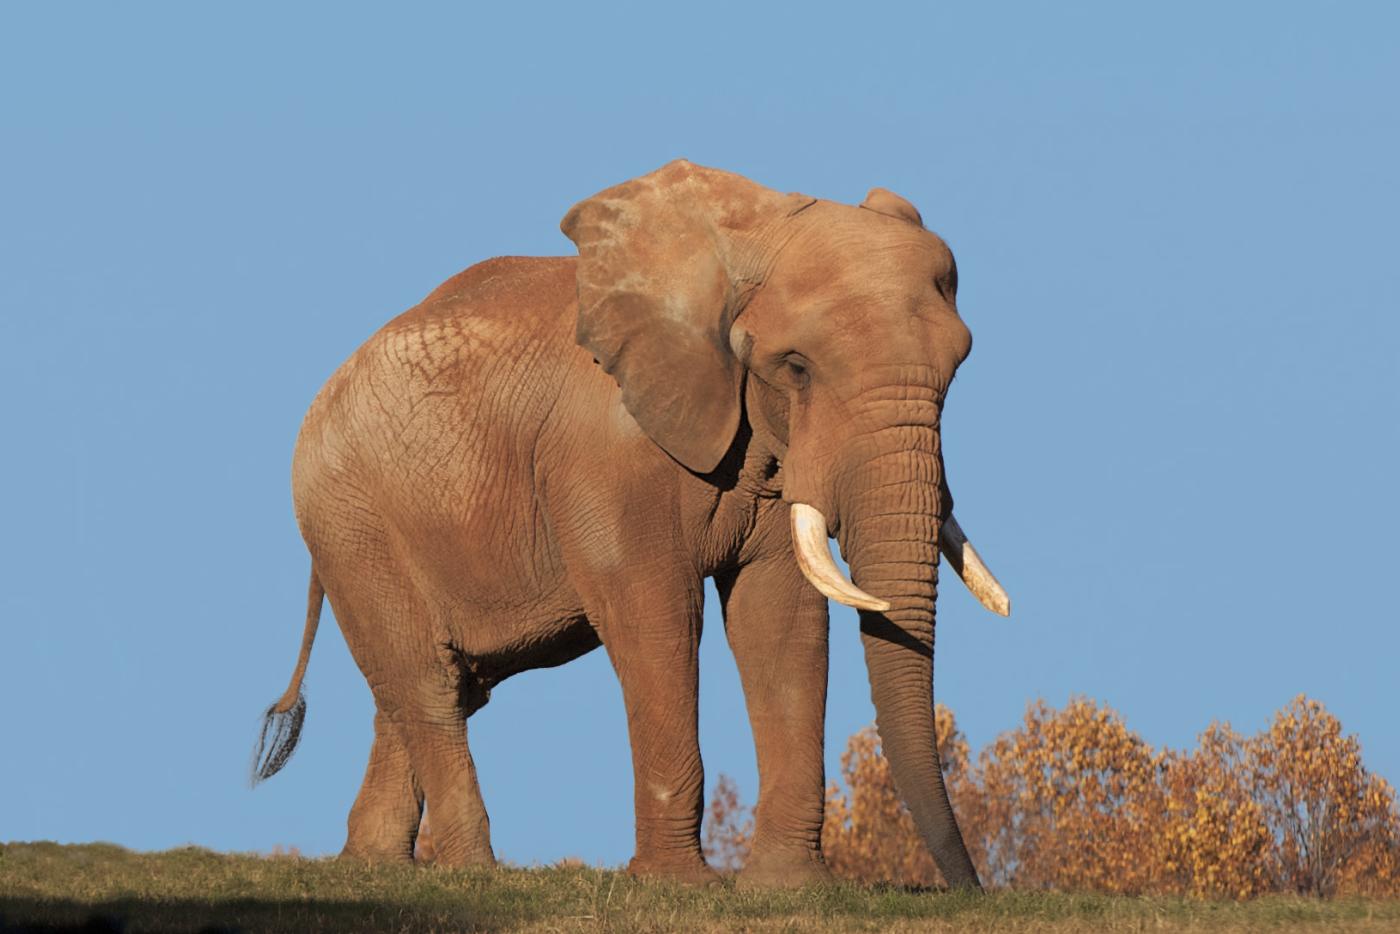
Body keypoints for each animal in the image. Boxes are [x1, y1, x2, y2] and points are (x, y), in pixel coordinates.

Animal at [253, 160, 1010, 889]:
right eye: (796, 366)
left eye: (957, 366)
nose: (969, 887)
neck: (741, 234)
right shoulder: (605, 453)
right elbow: (656, 614)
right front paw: (681, 885)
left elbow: (780, 616)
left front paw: (792, 889)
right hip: (348, 515)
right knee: (429, 684)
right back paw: (471, 872)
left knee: (432, 686)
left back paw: (374, 865)